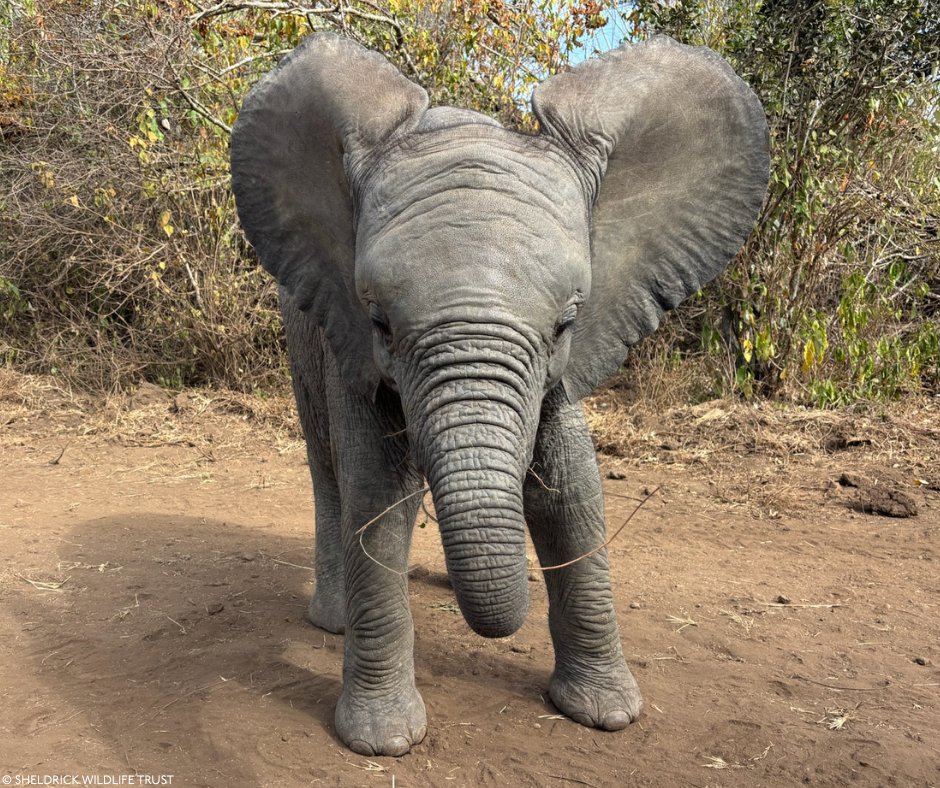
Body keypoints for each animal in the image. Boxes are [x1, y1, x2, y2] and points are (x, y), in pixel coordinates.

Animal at [230, 32, 769, 756]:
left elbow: (570, 490)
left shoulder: (562, 366)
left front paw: (605, 713)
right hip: (301, 337)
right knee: (328, 472)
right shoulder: (351, 343)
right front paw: (383, 741)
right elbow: (379, 496)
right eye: (380, 322)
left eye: (566, 321)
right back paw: (333, 620)